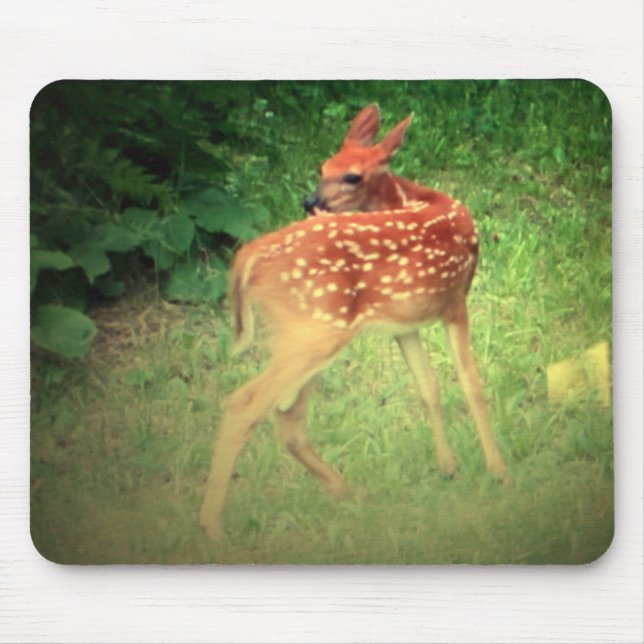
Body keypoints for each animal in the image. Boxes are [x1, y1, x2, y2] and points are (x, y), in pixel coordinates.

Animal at [199, 104, 510, 543]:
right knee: (248, 403)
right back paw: (213, 526)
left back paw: (342, 490)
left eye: (351, 174)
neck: (416, 199)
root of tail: (249, 256)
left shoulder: (404, 322)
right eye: (322, 167)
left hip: (310, 334)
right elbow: (472, 384)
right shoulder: (455, 302)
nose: (310, 200)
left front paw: (448, 465)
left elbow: (428, 386)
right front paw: (499, 472)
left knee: (287, 417)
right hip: (317, 330)